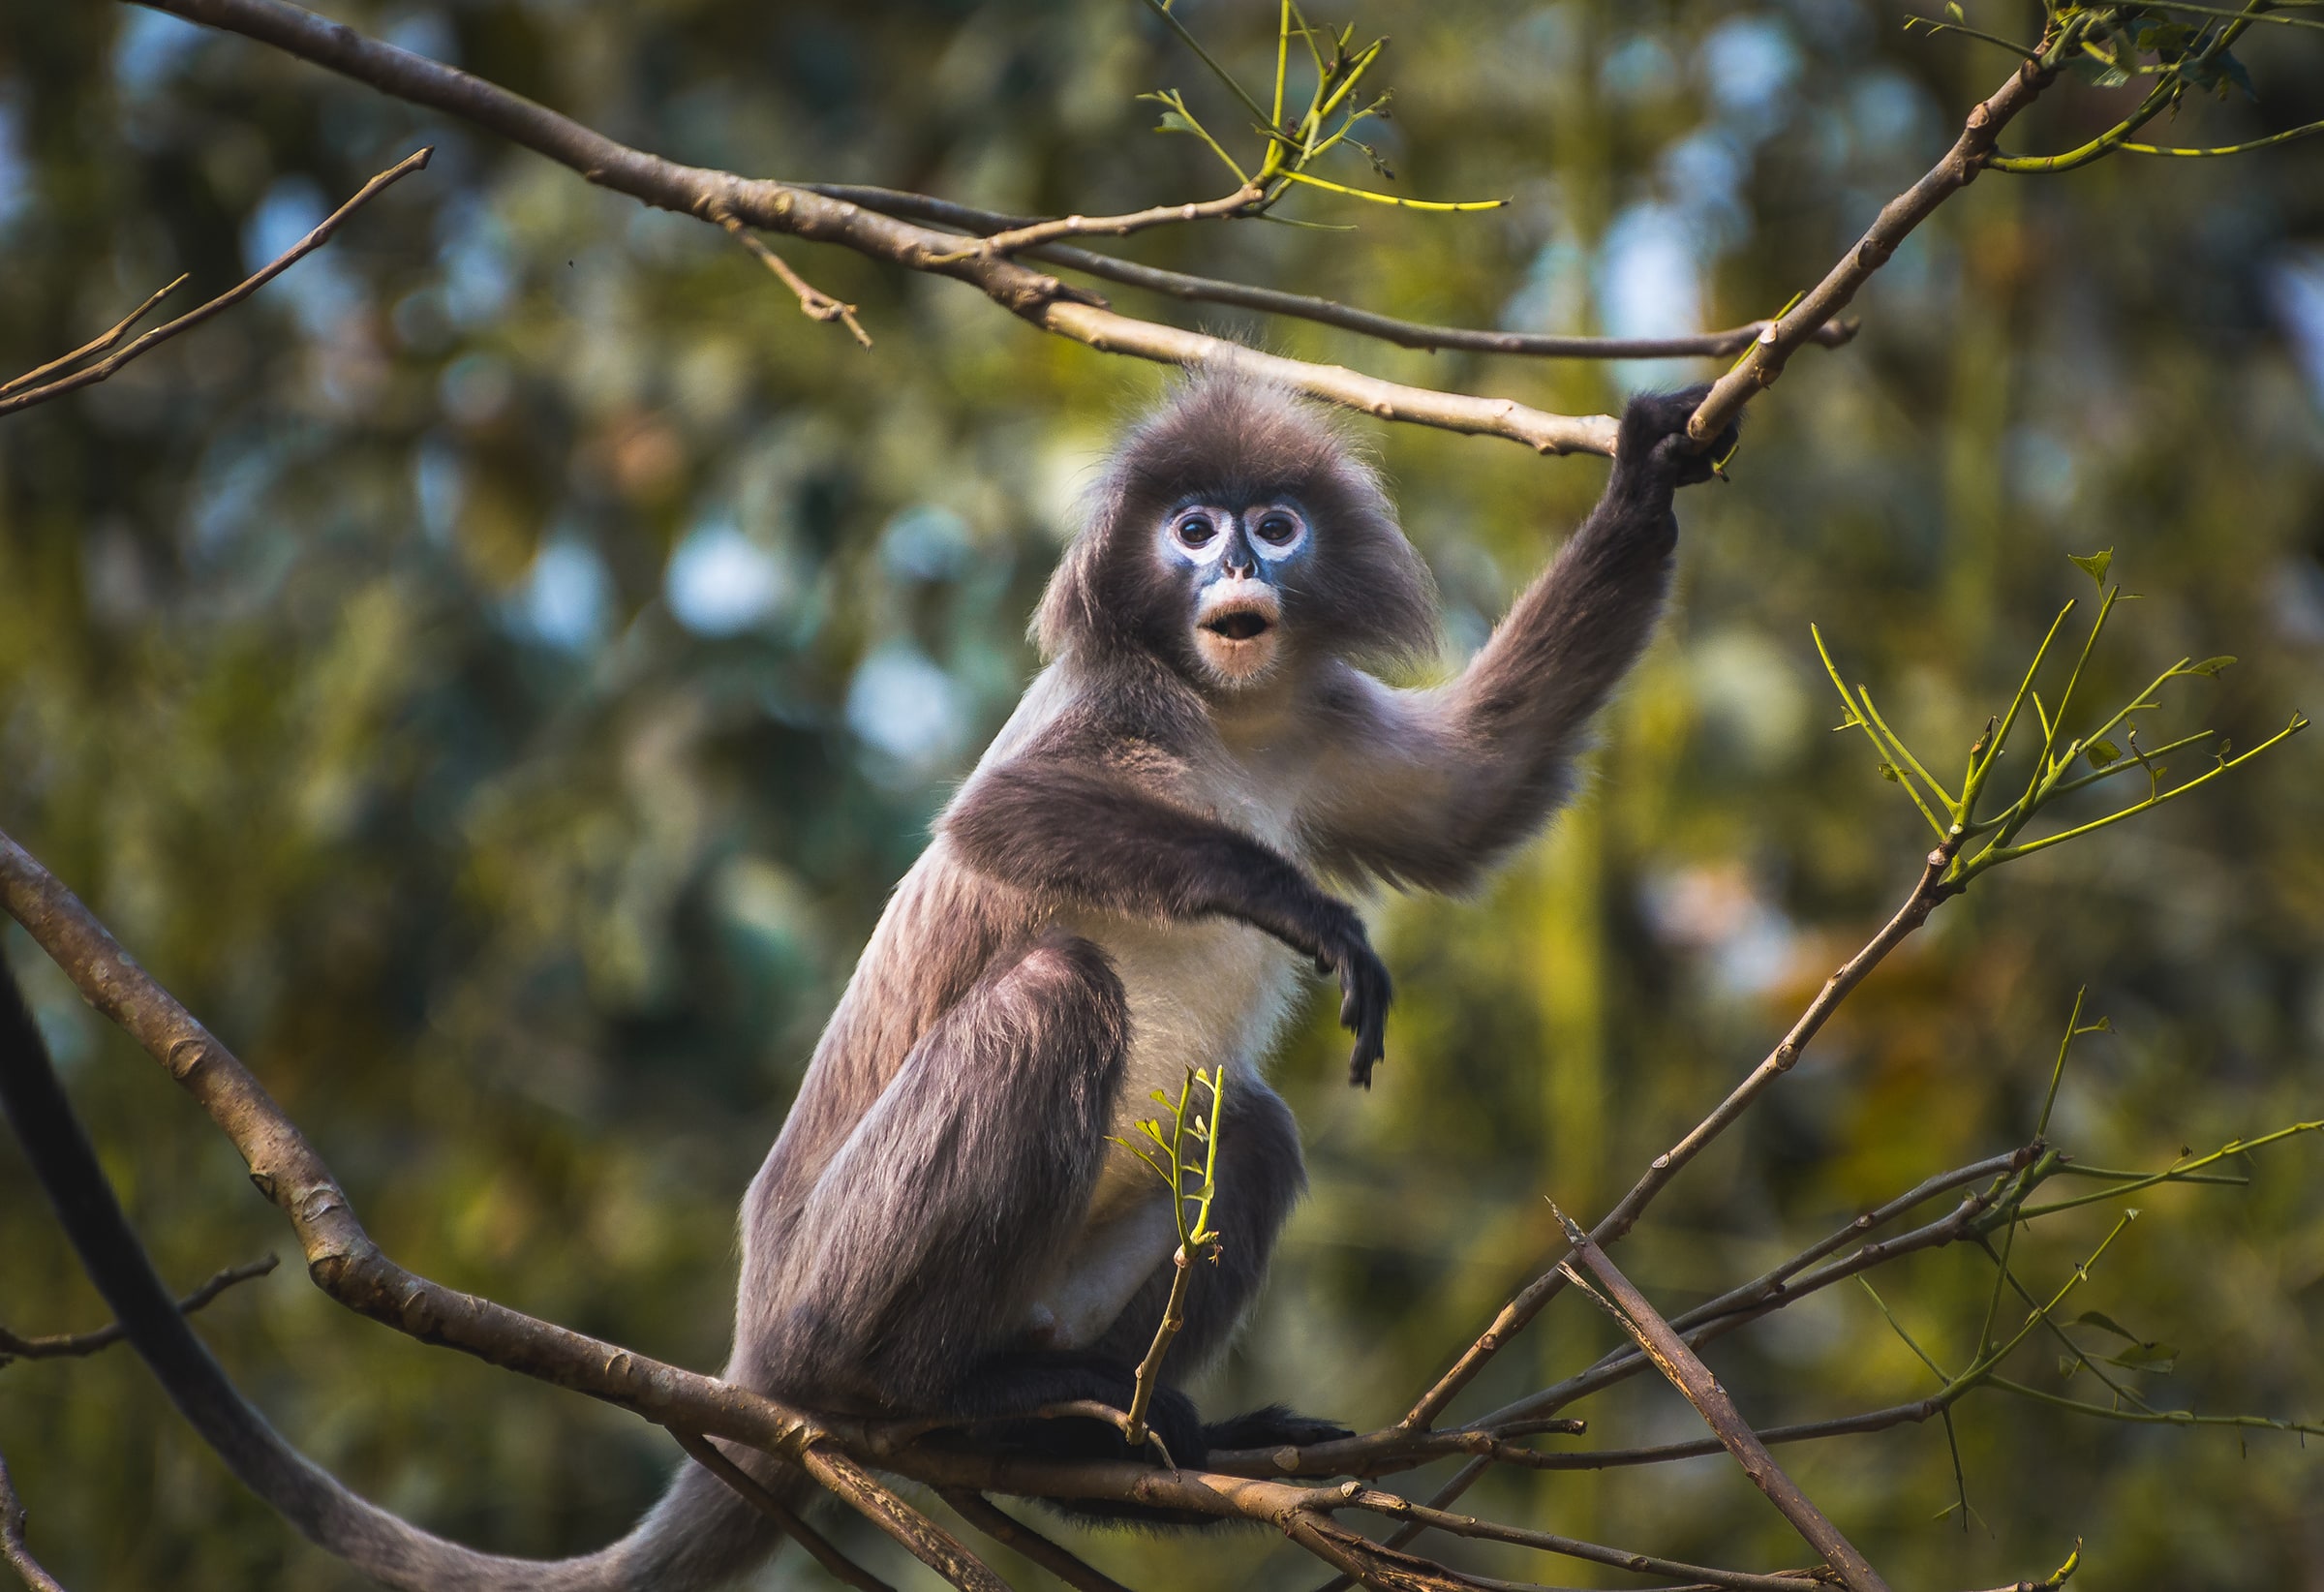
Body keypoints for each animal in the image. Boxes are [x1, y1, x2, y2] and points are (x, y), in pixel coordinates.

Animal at [0, 374, 1736, 1590]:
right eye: (1191, 528)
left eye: (1275, 523)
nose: (1235, 556)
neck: (1225, 717)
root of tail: (755, 1351)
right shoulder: (1106, 706)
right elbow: (997, 817)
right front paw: (1287, 899)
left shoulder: (1314, 725)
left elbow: (1474, 796)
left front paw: (1646, 479)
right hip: (847, 1270)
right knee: (1055, 997)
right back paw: (938, 1403)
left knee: (1246, 1116)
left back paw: (1096, 1439)